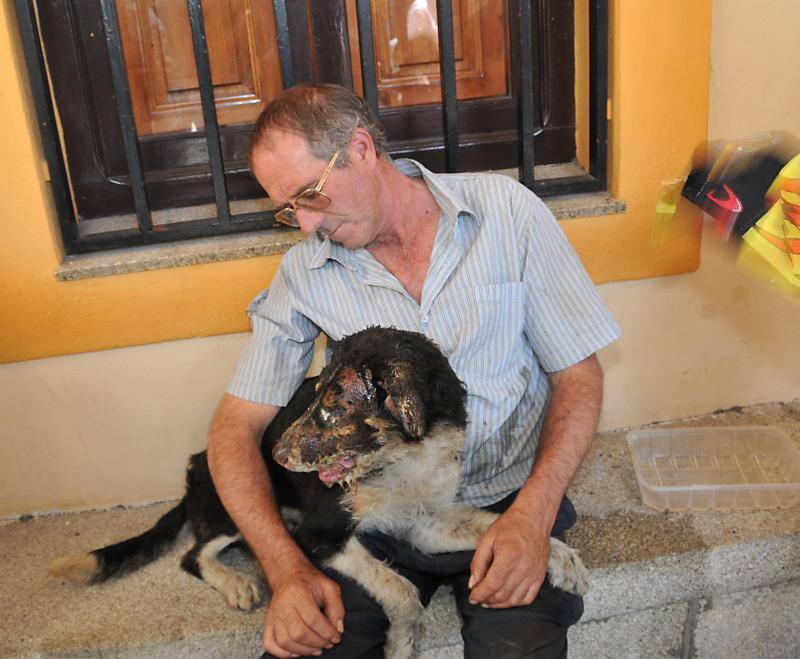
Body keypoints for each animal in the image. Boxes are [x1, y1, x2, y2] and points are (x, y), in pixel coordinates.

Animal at [50, 328, 588, 659]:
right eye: (314, 396)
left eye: (334, 408)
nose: (276, 454)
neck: (401, 459)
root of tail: (195, 470)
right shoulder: (323, 536)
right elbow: (398, 585)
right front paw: (403, 641)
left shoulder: (428, 525)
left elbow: (493, 524)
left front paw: (557, 559)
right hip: (231, 509)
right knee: (193, 555)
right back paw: (236, 581)